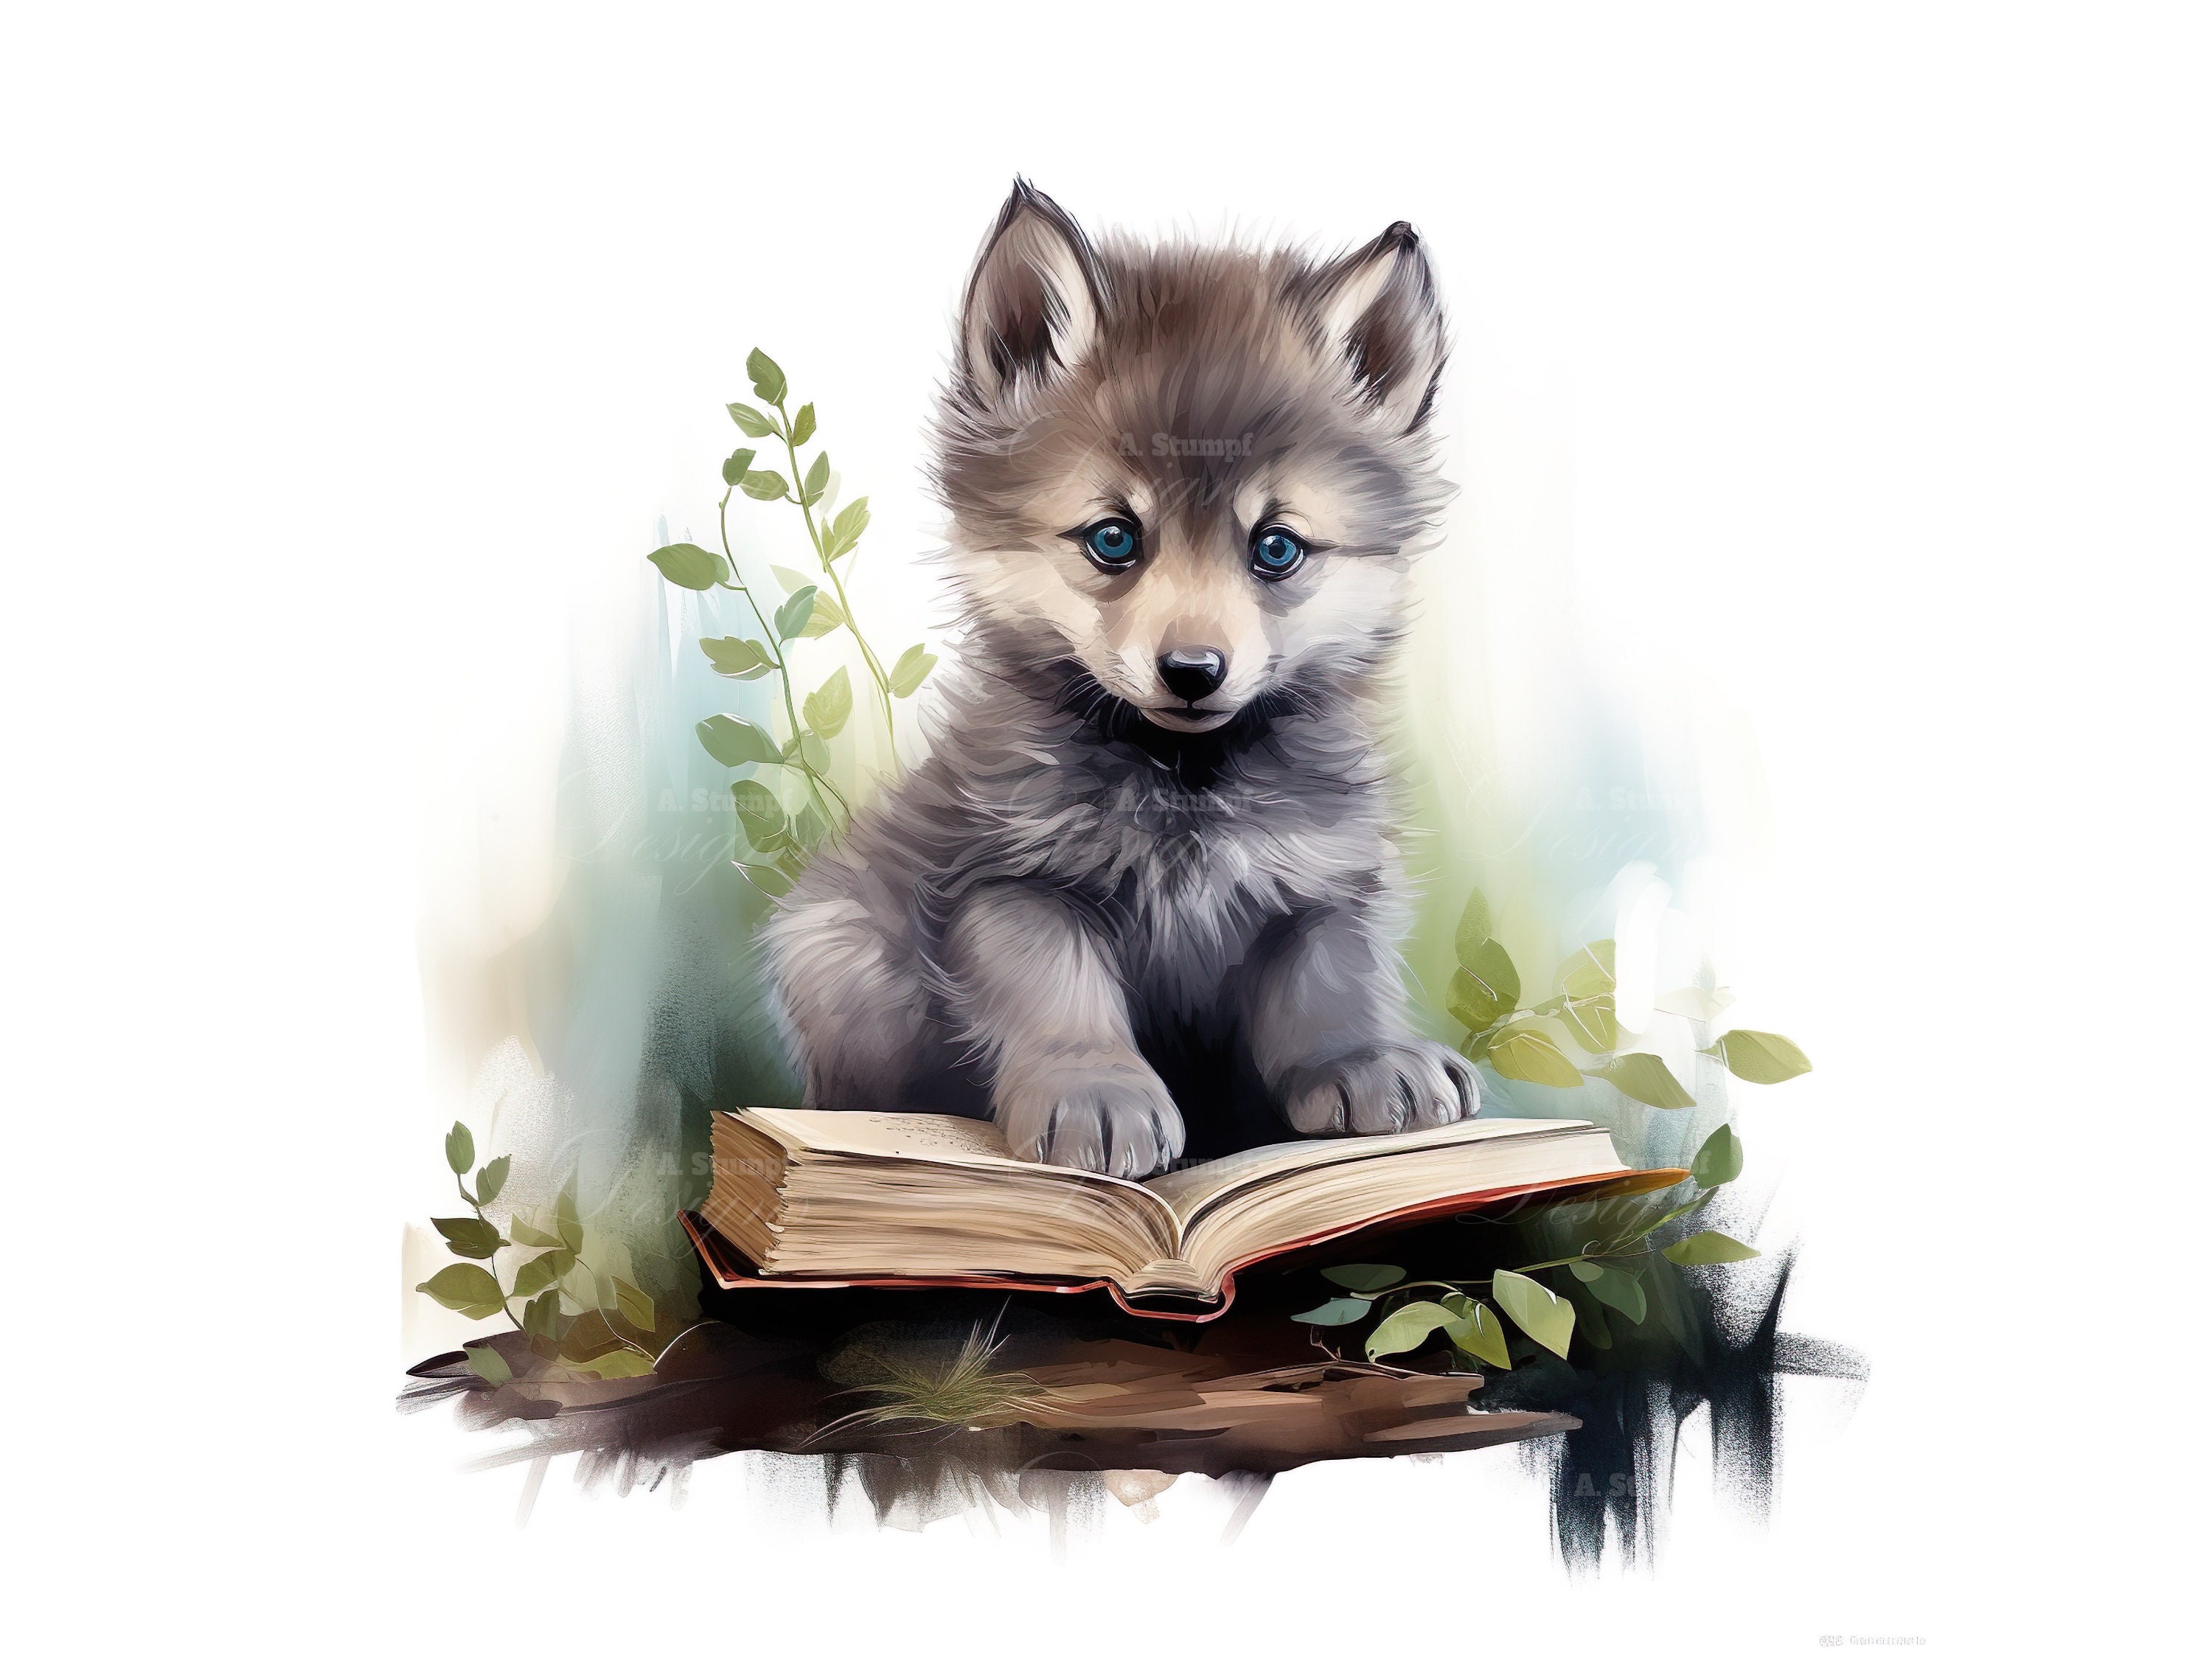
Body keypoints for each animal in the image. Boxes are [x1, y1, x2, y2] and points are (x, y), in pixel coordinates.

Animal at [763, 181, 1478, 1178]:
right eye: (1113, 538)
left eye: (1276, 548)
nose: (1192, 670)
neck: (1186, 789)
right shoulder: (1012, 880)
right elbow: (1057, 991)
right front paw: (1093, 1090)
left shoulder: (1322, 881)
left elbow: (1329, 982)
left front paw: (1363, 1061)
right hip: (835, 949)